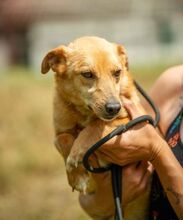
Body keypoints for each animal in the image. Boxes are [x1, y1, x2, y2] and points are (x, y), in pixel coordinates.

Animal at [41, 37, 150, 219]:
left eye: (117, 73)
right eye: (87, 74)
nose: (114, 108)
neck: (85, 112)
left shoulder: (134, 118)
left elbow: (96, 125)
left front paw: (78, 151)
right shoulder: (59, 133)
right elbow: (65, 140)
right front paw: (77, 174)